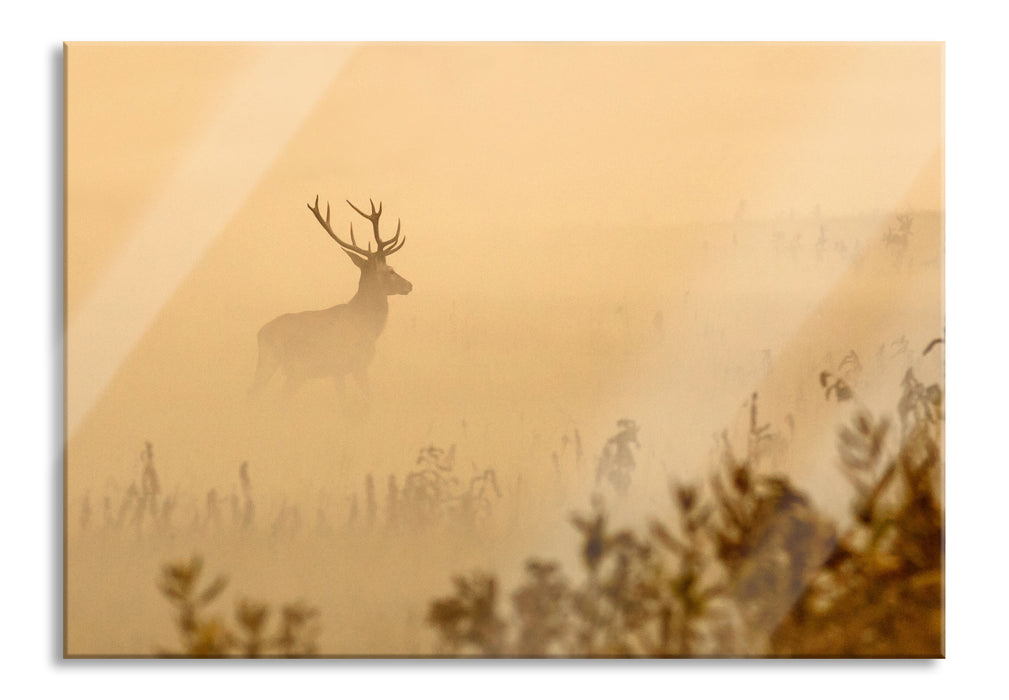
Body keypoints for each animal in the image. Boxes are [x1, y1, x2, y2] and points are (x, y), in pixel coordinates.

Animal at [250, 197, 412, 400]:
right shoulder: (357, 364)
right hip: (285, 365)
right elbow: (367, 399)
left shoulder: (338, 371)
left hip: (281, 368)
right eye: (390, 270)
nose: (409, 285)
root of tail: (260, 334)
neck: (367, 326)